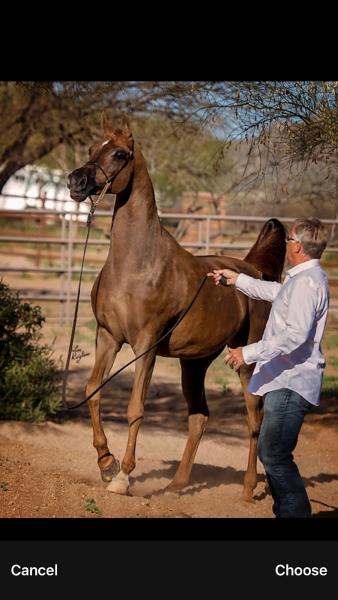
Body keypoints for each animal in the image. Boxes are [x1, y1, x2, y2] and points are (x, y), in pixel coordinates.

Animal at [67, 113, 286, 502]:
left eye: (119, 154)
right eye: (93, 147)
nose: (75, 182)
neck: (138, 264)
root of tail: (254, 271)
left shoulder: (145, 346)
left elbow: (135, 408)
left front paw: (124, 476)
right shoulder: (108, 337)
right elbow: (92, 391)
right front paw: (106, 463)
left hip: (247, 362)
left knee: (254, 419)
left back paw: (248, 489)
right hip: (194, 363)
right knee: (199, 417)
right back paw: (177, 484)